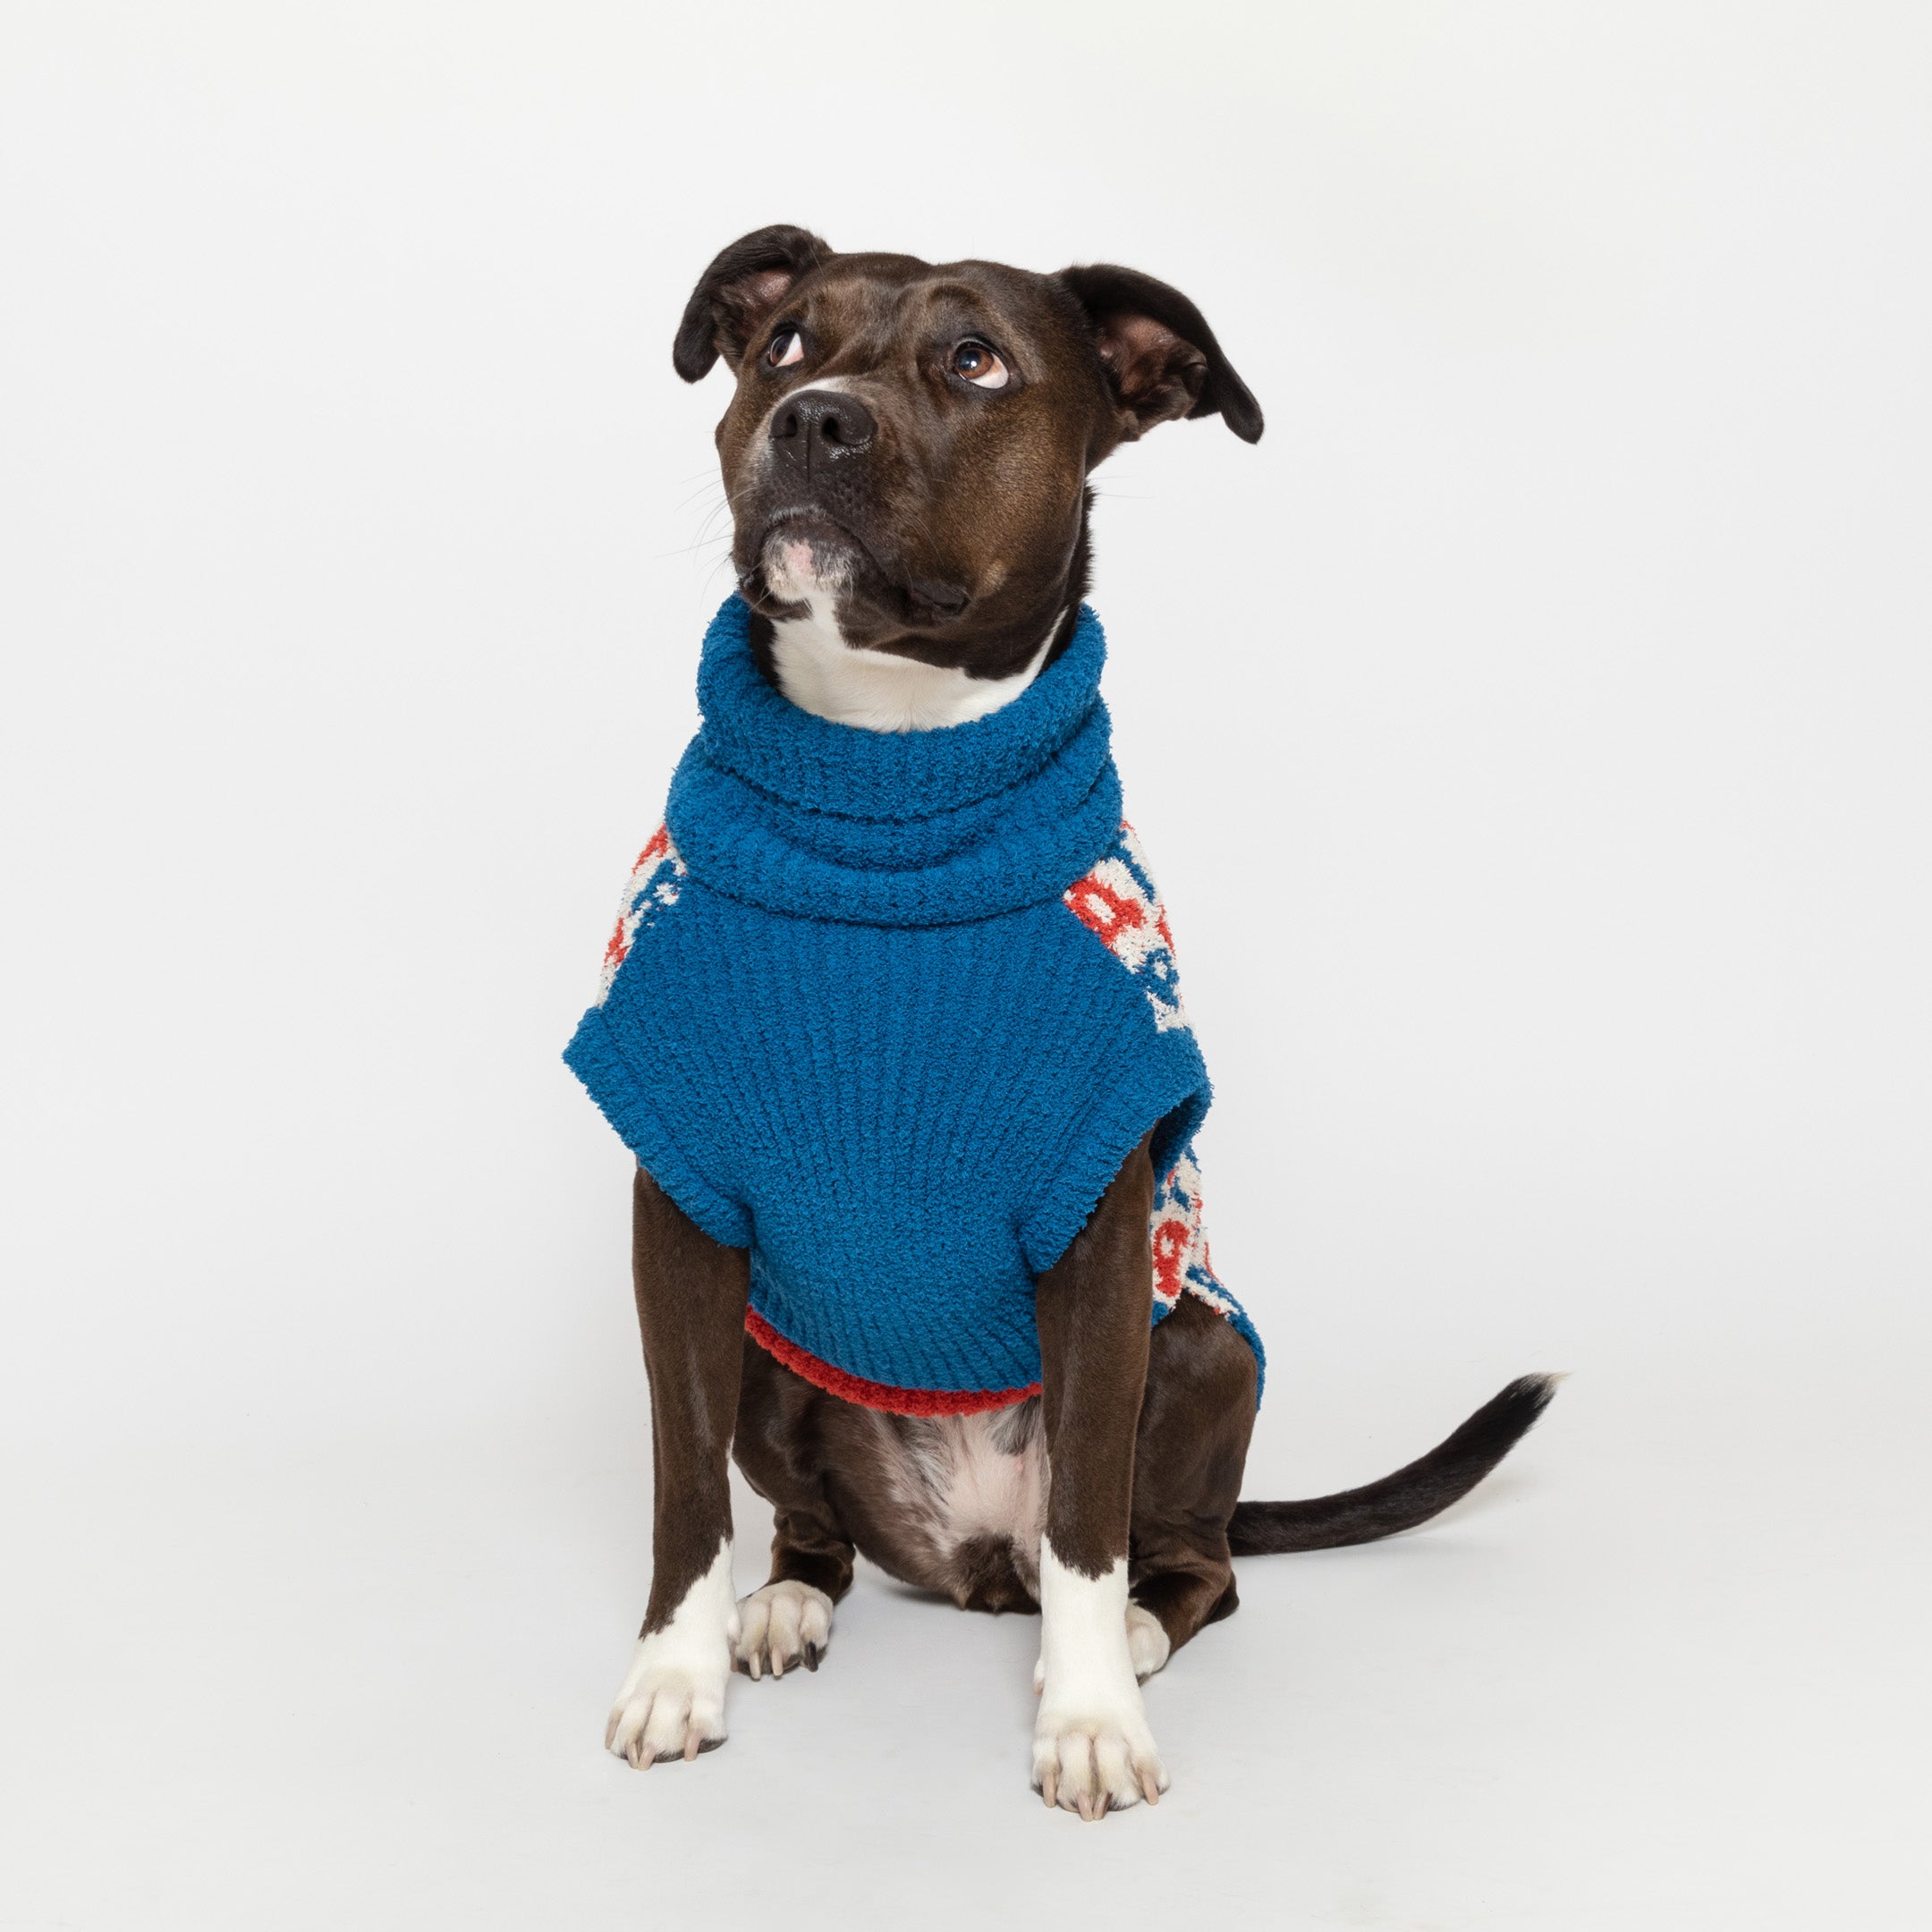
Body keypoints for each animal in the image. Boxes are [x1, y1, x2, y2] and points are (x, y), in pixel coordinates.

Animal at [564, 230, 1553, 1824]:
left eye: (976, 363)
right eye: (783, 344)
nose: (815, 419)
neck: (888, 779)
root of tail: (971, 1559)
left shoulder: (1096, 1221)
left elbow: (1090, 1513)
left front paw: (1087, 1719)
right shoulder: (684, 1211)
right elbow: (681, 1492)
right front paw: (675, 1674)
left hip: (1203, 1344)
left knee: (1185, 1554)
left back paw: (1139, 1629)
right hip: (778, 1369)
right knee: (808, 1525)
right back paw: (789, 1604)